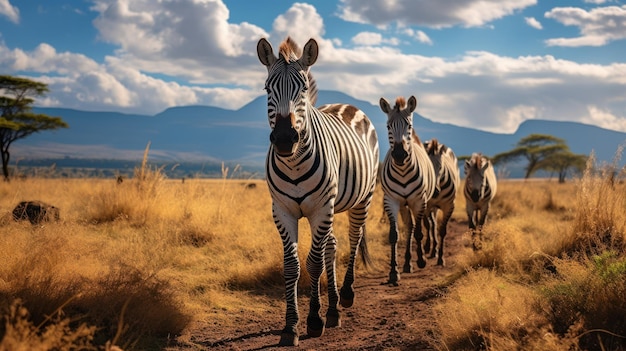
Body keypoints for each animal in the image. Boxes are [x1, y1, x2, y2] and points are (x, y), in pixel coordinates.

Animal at [256, 36, 378, 346]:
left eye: (302, 88)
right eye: (267, 89)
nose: (284, 139)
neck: (293, 163)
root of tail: (346, 105)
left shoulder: (320, 209)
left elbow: (313, 264)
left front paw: (313, 320)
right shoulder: (282, 211)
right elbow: (292, 266)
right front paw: (290, 326)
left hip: (361, 199)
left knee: (353, 239)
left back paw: (345, 296)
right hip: (330, 207)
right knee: (332, 247)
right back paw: (333, 309)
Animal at [376, 95, 434, 286]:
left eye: (408, 125)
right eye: (388, 126)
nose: (400, 155)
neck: (402, 172)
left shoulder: (419, 200)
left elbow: (419, 232)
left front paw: (421, 260)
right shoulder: (391, 200)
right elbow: (394, 235)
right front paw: (393, 272)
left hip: (415, 202)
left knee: (414, 227)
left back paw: (414, 262)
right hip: (403, 204)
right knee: (409, 226)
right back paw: (407, 263)